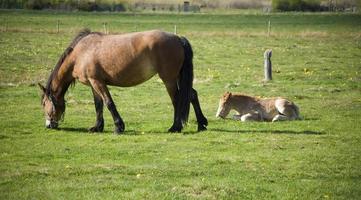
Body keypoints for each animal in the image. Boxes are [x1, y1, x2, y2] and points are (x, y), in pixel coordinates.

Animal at [38, 29, 207, 133]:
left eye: (45, 104)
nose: (49, 125)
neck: (81, 53)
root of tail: (178, 38)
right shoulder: (93, 84)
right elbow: (98, 105)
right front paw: (97, 127)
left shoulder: (98, 82)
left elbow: (109, 103)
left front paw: (119, 127)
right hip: (177, 77)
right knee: (191, 95)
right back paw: (201, 124)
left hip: (169, 79)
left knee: (177, 100)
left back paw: (175, 127)